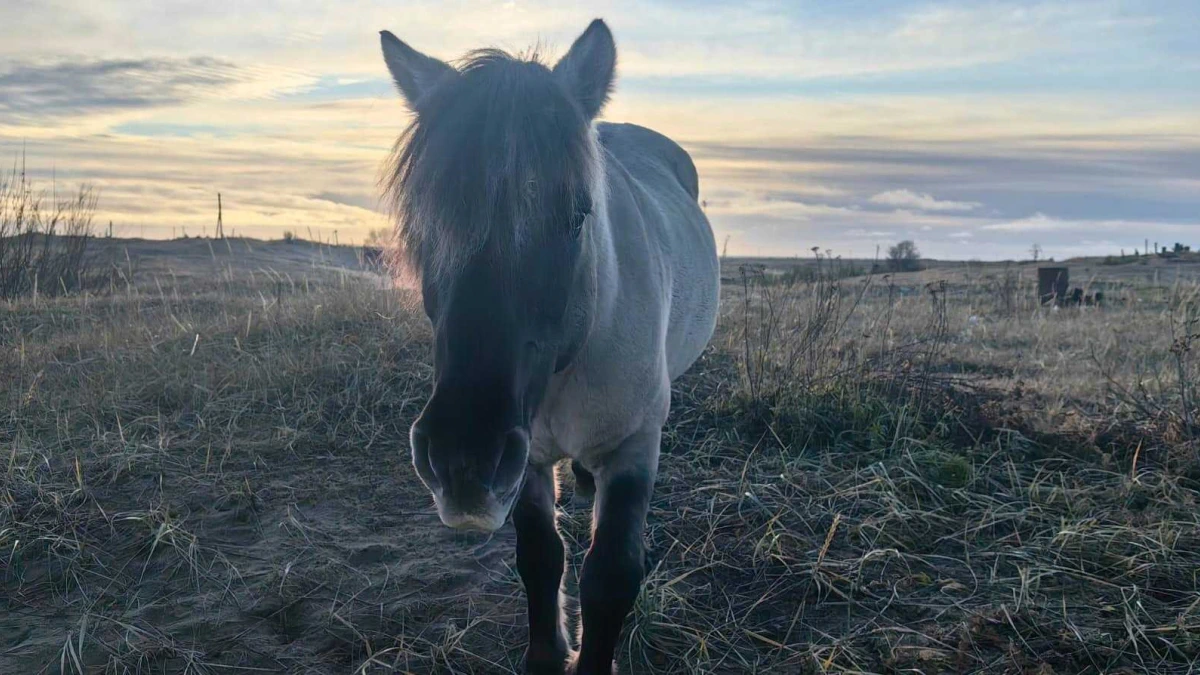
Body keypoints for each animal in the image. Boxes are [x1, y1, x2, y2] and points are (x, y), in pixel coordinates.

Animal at [379, 18, 715, 667]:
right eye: (423, 225)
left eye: (578, 214)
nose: (462, 461)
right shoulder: (528, 457)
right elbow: (540, 560)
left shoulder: (634, 446)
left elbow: (609, 577)